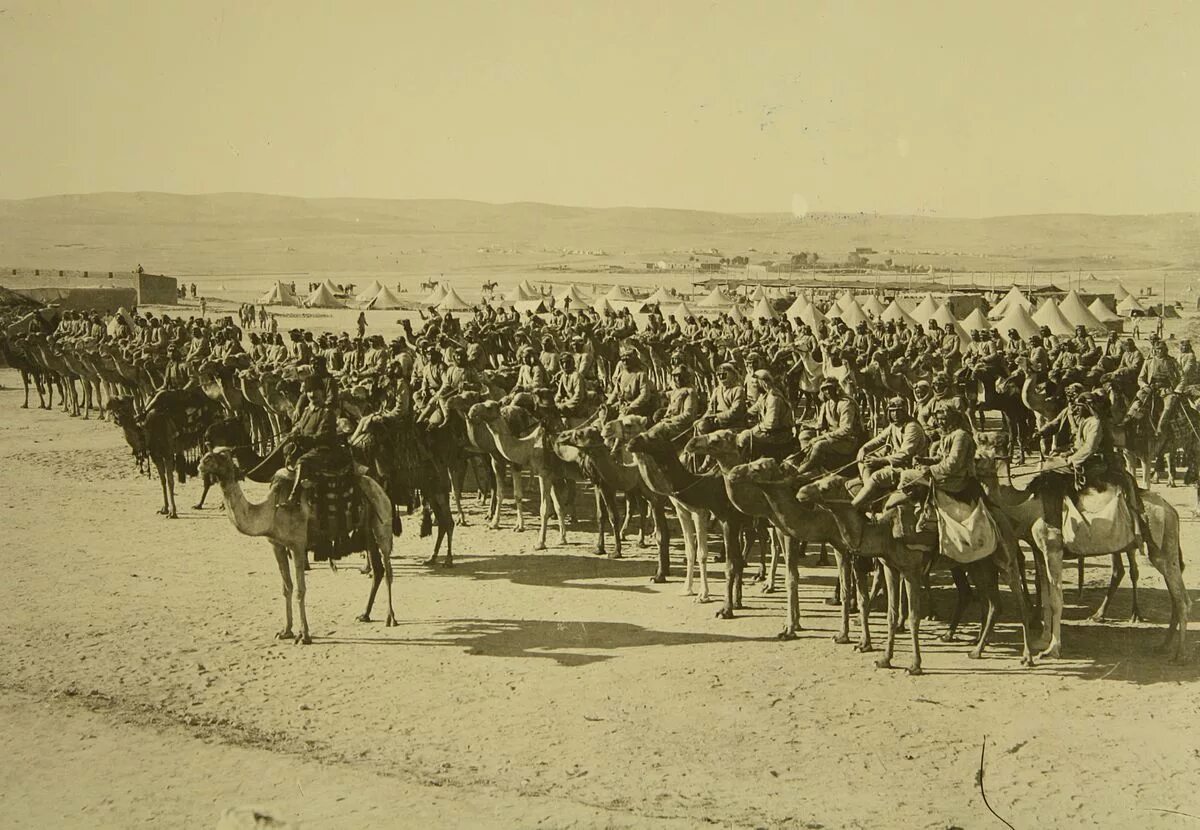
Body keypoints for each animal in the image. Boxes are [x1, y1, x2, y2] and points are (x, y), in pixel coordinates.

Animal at [199, 443, 396, 642]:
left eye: (222, 456)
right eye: (208, 453)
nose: (201, 464)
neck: (271, 509)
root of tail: (380, 488)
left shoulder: (298, 545)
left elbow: (301, 589)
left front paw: (304, 635)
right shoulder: (277, 545)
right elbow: (287, 587)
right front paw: (286, 631)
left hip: (383, 524)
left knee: (388, 569)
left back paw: (391, 618)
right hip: (367, 532)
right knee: (378, 570)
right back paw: (364, 614)